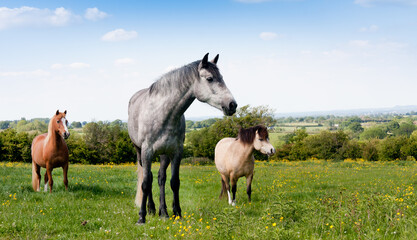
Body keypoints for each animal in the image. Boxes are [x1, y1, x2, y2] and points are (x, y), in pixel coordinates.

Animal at [127, 53, 237, 224]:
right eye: (210, 78)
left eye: (222, 78)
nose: (232, 105)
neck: (162, 113)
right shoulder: (147, 152)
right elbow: (145, 183)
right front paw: (141, 217)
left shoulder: (176, 152)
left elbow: (174, 182)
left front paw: (177, 213)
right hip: (140, 152)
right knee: (149, 178)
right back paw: (151, 209)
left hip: (164, 154)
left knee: (161, 178)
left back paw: (163, 212)